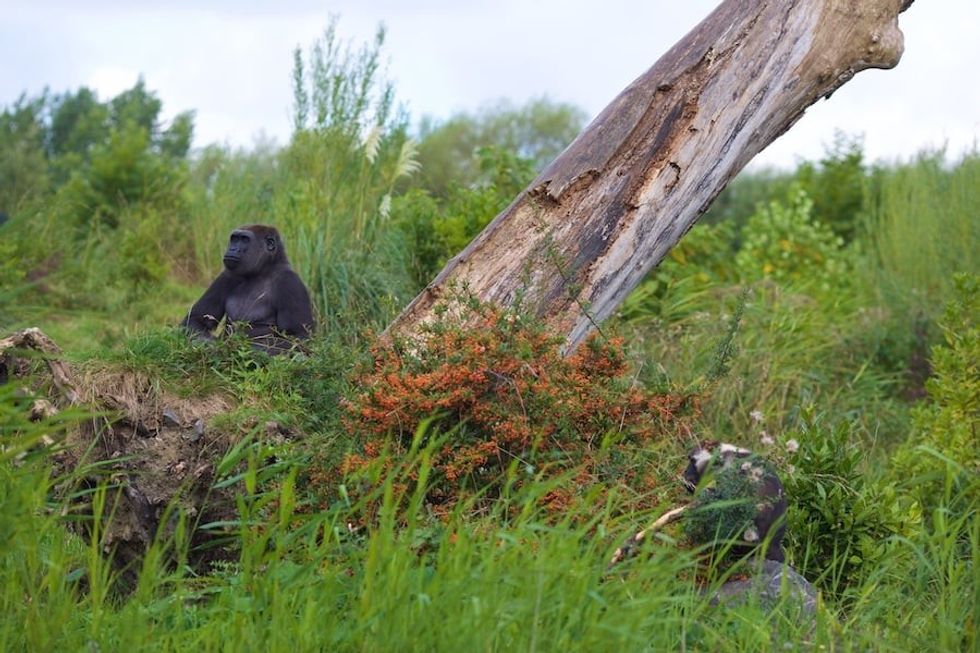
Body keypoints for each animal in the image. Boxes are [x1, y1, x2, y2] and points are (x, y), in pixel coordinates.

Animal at [182, 225, 314, 354]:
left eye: (245, 239)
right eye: (234, 239)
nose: (232, 249)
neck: (265, 269)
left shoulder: (291, 281)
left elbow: (299, 337)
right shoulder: (227, 275)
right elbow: (195, 319)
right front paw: (211, 344)